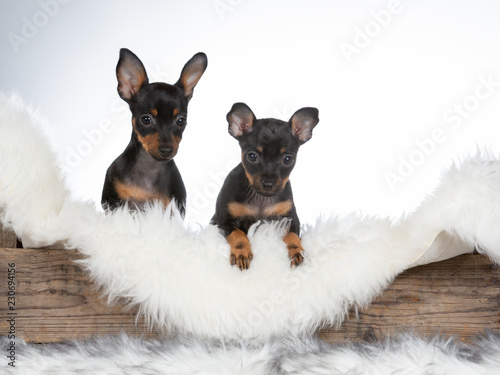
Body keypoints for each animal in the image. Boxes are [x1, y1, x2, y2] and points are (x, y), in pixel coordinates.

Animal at [101, 48, 207, 214]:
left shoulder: (173, 209)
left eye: (181, 121)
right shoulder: (113, 205)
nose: (167, 149)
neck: (149, 168)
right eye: (146, 119)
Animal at [210, 103, 318, 270]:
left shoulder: (290, 220)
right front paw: (242, 253)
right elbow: (238, 235)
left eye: (288, 159)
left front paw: (298, 252)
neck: (260, 198)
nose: (268, 184)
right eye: (252, 156)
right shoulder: (224, 222)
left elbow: (292, 236)